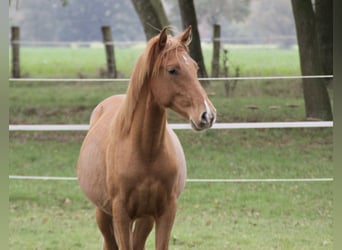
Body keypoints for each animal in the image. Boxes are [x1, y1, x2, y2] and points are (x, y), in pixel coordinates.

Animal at [77, 26, 216, 249]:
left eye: (195, 68)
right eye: (172, 70)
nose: (207, 115)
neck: (145, 152)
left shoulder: (165, 212)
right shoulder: (121, 214)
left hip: (144, 219)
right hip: (103, 214)